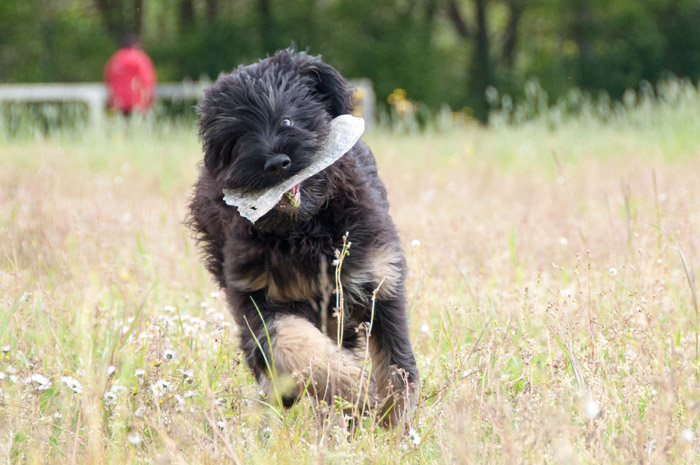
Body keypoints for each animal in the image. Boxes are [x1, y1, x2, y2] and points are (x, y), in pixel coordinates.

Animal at [189, 49, 418, 422]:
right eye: (238, 136)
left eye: (286, 121)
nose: (275, 163)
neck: (303, 229)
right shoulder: (255, 295)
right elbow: (294, 342)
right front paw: (352, 388)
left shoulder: (380, 278)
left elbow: (395, 360)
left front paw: (393, 417)